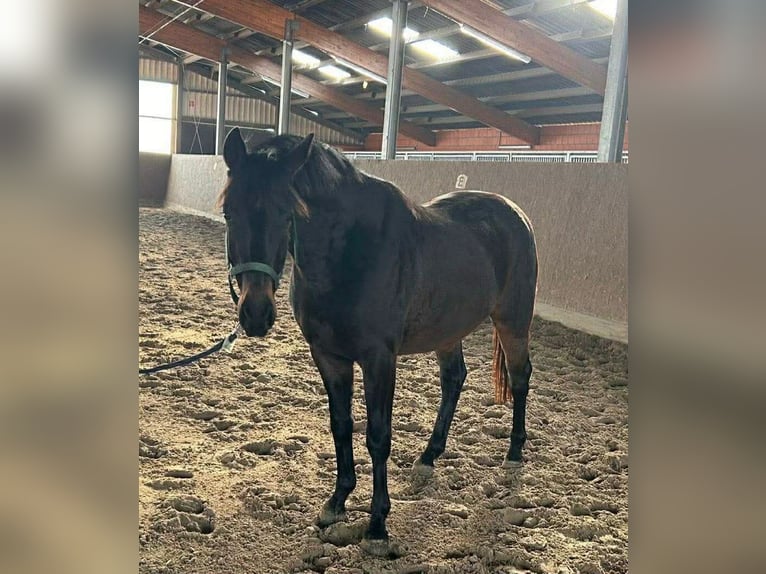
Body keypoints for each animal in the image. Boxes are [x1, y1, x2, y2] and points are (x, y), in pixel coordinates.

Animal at [219, 128, 537, 555]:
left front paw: (377, 525)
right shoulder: (328, 356)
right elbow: (341, 426)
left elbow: (378, 436)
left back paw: (514, 453)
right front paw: (336, 502)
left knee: (519, 378)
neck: (349, 252)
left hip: (513, 322)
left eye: (287, 214)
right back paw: (428, 457)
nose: (256, 313)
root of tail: (514, 212)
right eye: (228, 213)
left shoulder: (379, 360)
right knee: (454, 379)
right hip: (448, 330)